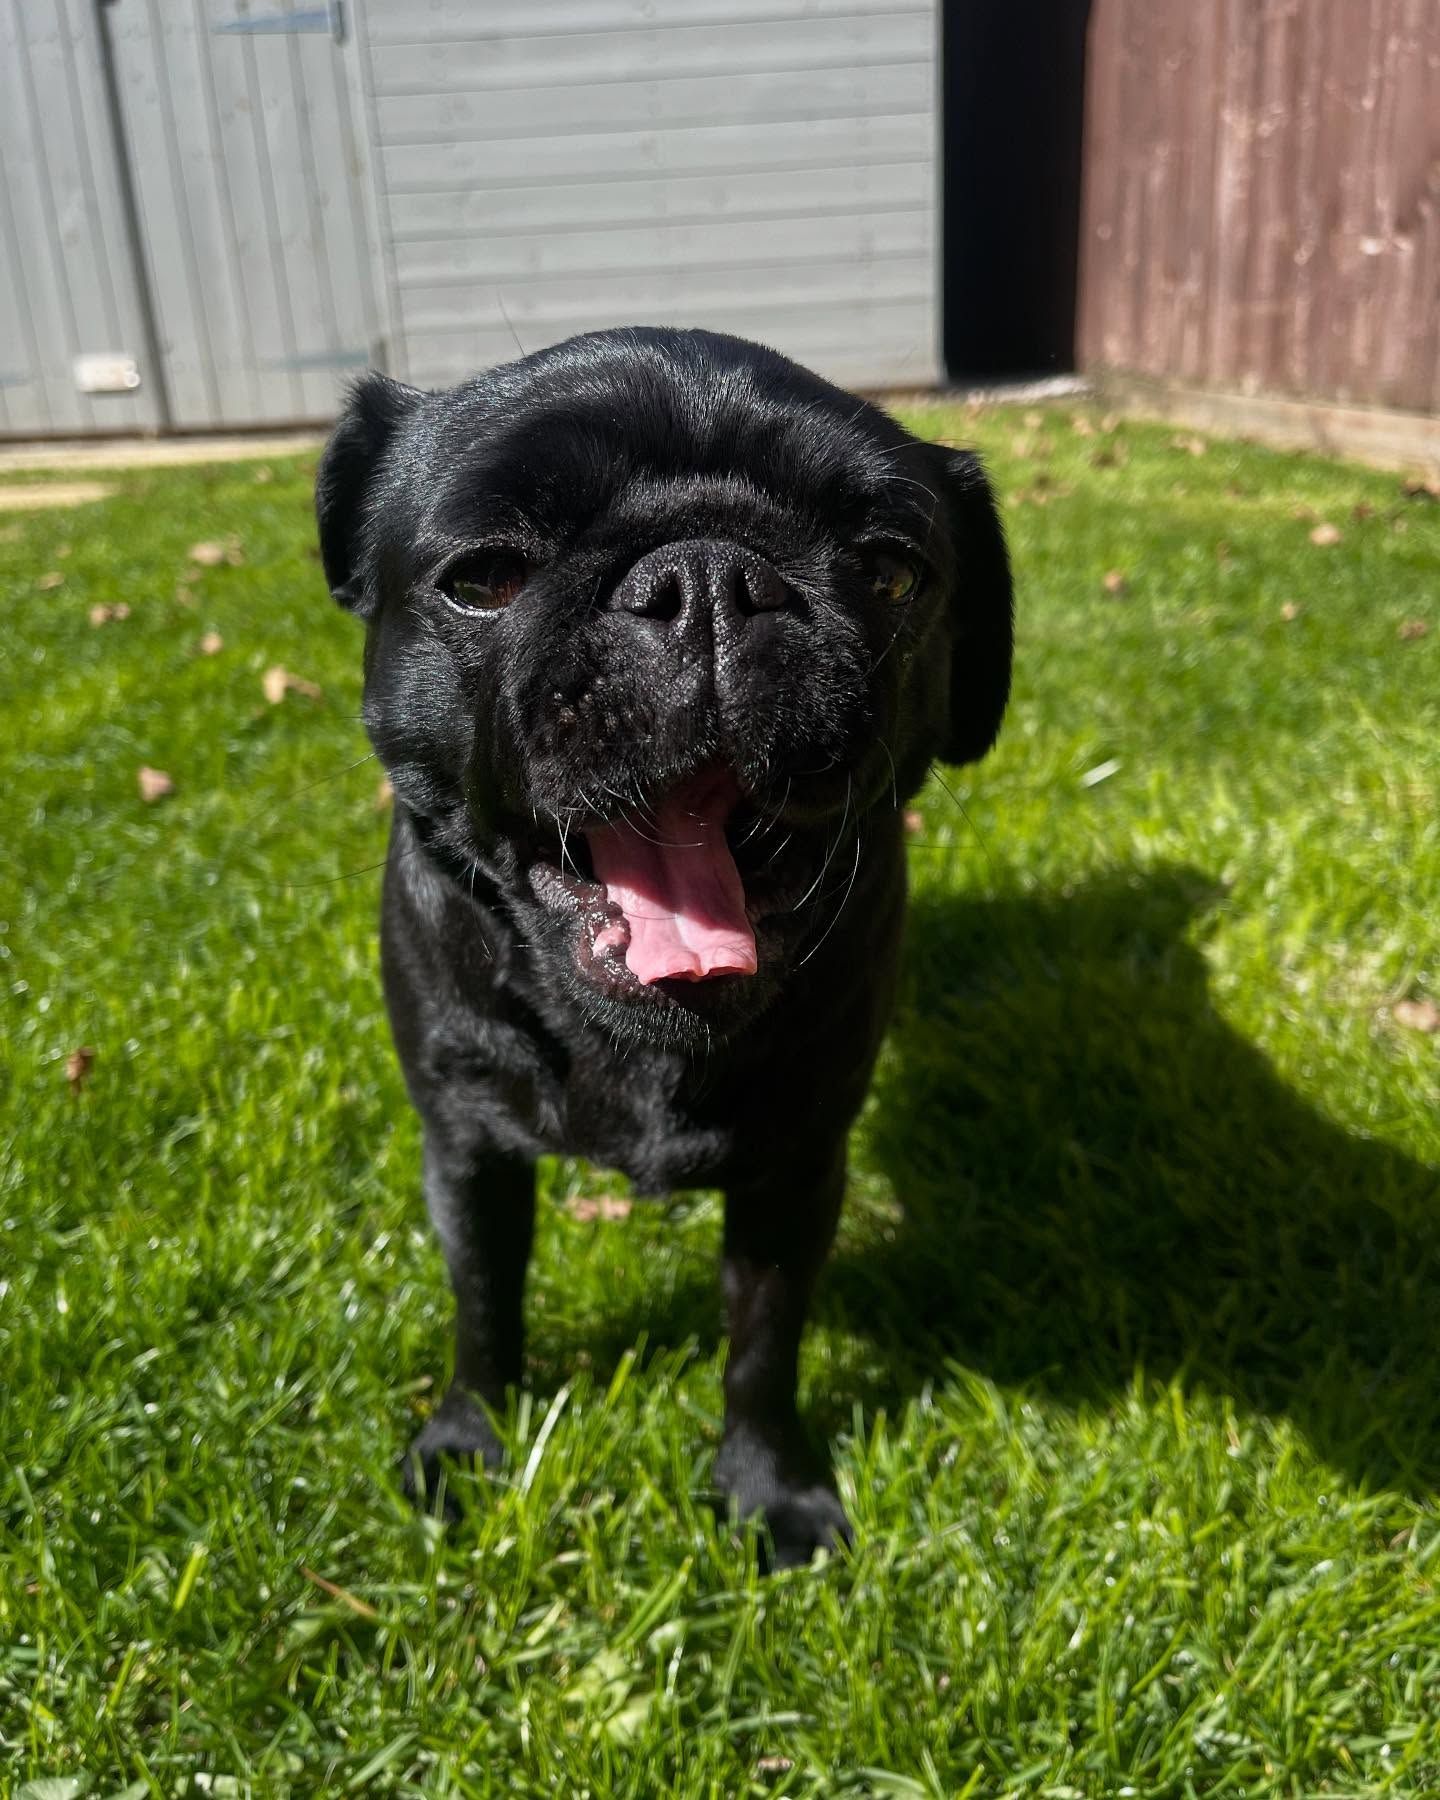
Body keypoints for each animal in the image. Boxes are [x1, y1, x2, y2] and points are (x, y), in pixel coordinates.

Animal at [315, 326, 1013, 1566]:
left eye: (891, 571)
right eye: (482, 578)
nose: (708, 583)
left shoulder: (795, 1170)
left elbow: (762, 1349)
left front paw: (768, 1488)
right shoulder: (468, 1148)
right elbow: (484, 1307)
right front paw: (469, 1443)